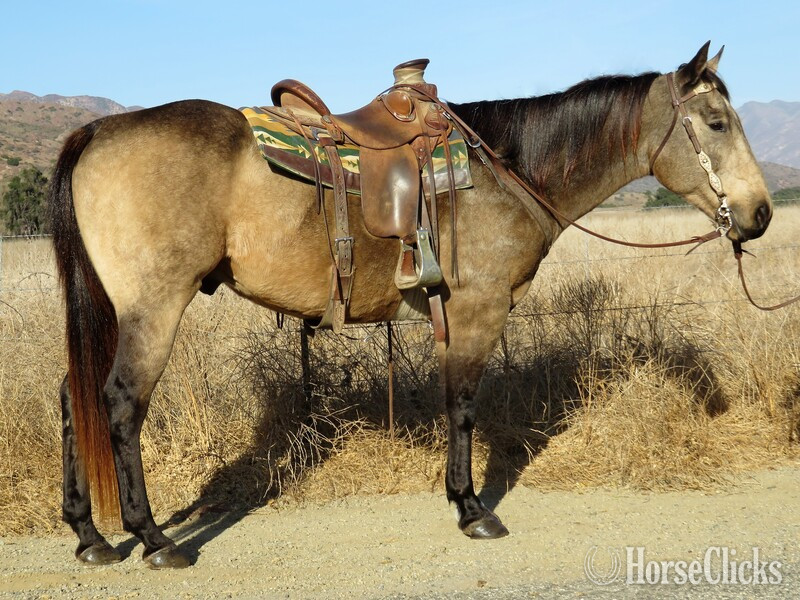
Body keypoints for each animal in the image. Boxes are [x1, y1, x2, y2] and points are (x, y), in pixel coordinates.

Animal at [50, 42, 771, 568]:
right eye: (716, 123)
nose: (760, 214)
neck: (507, 170)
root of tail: (100, 129)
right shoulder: (478, 312)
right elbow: (464, 407)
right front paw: (471, 508)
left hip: (109, 311)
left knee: (74, 398)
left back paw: (91, 538)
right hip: (152, 308)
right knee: (119, 403)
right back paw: (154, 540)